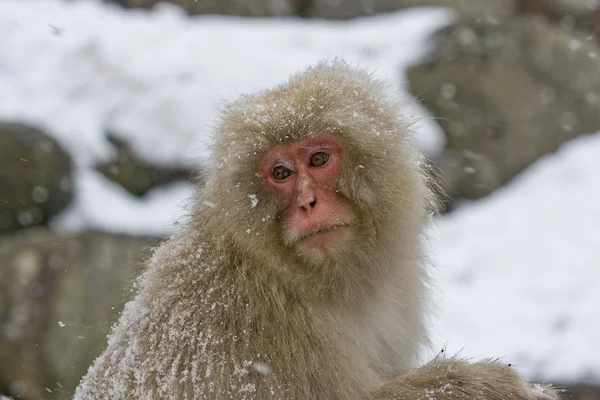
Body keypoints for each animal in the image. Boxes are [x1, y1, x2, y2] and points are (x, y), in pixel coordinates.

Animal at [74, 60, 556, 400]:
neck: (292, 275)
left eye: (319, 159)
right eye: (281, 173)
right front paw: (484, 384)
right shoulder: (245, 326)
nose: (308, 202)